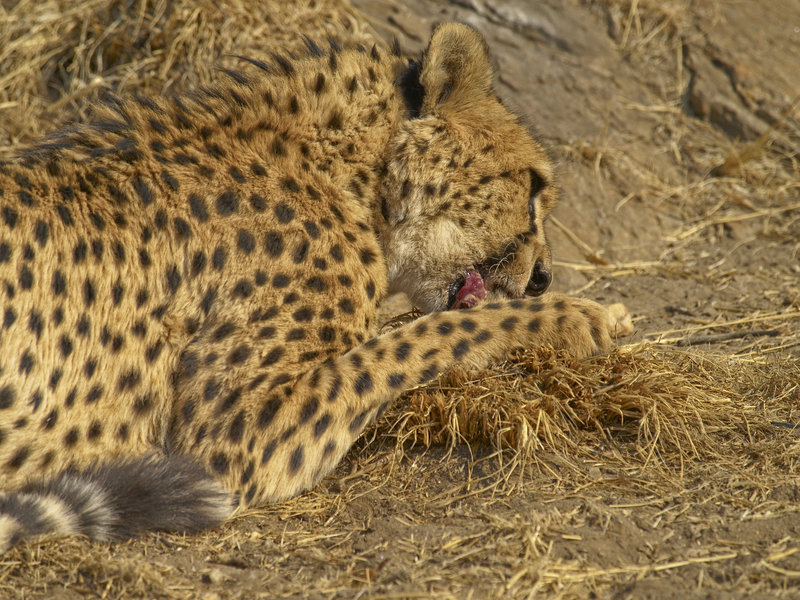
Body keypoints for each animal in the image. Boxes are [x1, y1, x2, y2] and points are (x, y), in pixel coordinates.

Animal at [0, 23, 632, 553]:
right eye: (534, 185)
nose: (543, 277)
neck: (354, 174)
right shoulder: (228, 440)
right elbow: (423, 336)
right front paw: (579, 318)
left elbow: (411, 329)